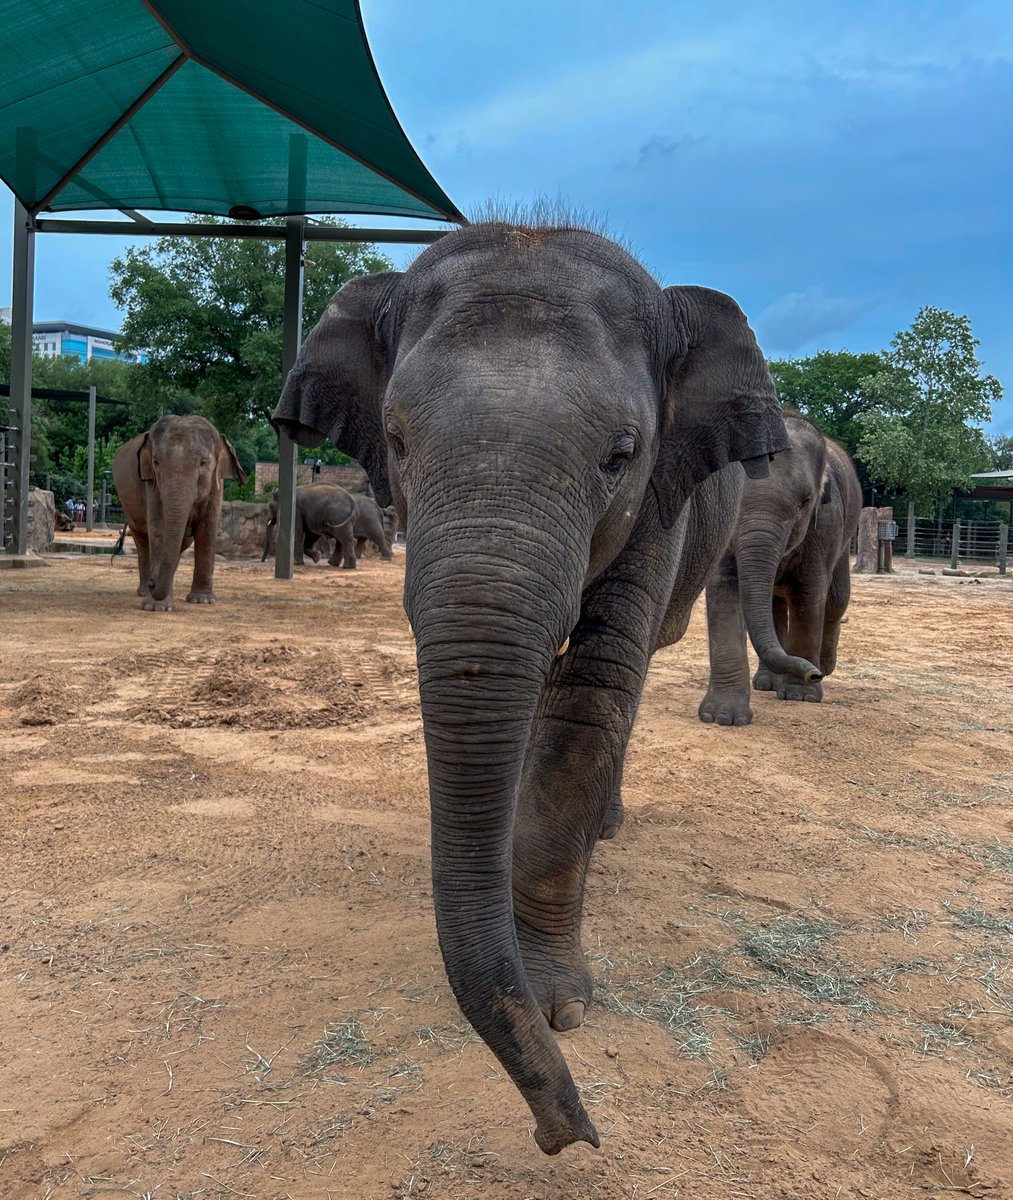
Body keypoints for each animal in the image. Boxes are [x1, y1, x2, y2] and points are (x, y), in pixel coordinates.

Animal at [111, 417, 246, 614]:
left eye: (203, 462)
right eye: (156, 462)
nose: (153, 582)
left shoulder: (216, 485)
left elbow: (207, 530)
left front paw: (202, 601)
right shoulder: (152, 485)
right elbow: (159, 530)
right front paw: (156, 607)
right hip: (128, 506)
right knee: (142, 540)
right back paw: (144, 591)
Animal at [259, 482, 388, 566]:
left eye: (270, 506)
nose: (263, 561)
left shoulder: (296, 510)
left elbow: (299, 532)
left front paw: (298, 563)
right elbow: (312, 534)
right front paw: (317, 558)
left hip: (346, 517)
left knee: (370, 536)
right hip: (343, 518)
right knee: (345, 538)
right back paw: (339, 564)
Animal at [705, 412, 864, 724]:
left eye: (805, 502)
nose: (812, 674)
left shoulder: (825, 524)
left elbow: (808, 594)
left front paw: (801, 695)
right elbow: (723, 588)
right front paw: (723, 717)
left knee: (836, 600)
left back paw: (824, 665)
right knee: (775, 605)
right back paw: (769, 683)